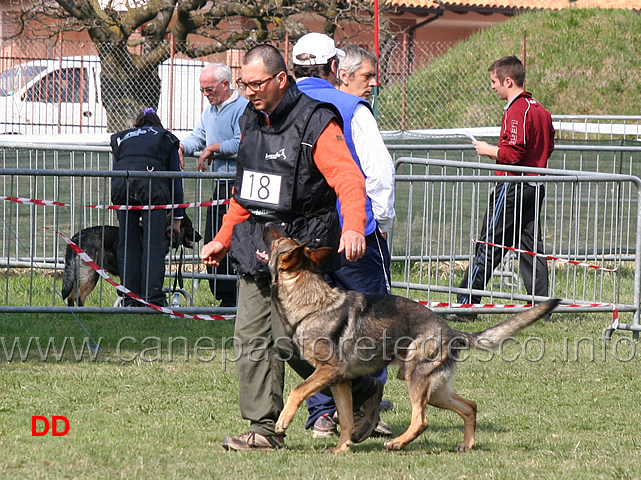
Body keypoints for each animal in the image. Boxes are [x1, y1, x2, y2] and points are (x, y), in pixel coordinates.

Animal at [60, 215, 200, 308]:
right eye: (189, 225)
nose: (200, 237)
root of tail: (77, 237)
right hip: (91, 275)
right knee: (79, 296)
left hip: (77, 276)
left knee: (71, 296)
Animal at [262, 225, 560, 454]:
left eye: (280, 238)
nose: (266, 222)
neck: (312, 301)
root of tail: (451, 331)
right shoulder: (340, 381)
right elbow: (346, 419)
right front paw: (341, 448)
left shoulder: (329, 372)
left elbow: (297, 391)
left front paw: (282, 422)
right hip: (434, 388)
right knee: (469, 406)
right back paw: (466, 445)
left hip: (417, 380)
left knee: (422, 421)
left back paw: (397, 443)